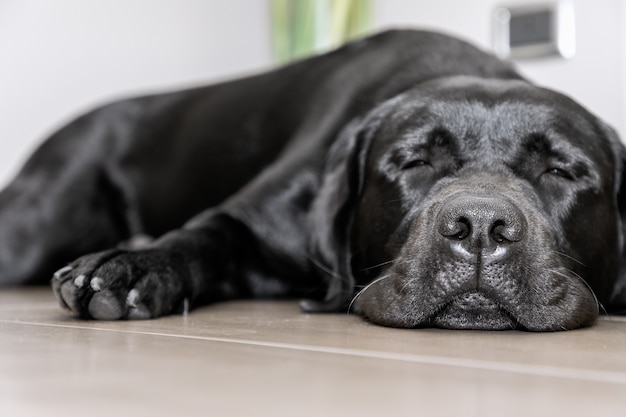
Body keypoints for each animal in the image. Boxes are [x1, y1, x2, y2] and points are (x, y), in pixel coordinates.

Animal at [1, 29, 624, 330]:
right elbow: (201, 234)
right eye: (415, 163)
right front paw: (131, 267)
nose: (479, 226)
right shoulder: (249, 222)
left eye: (560, 171)